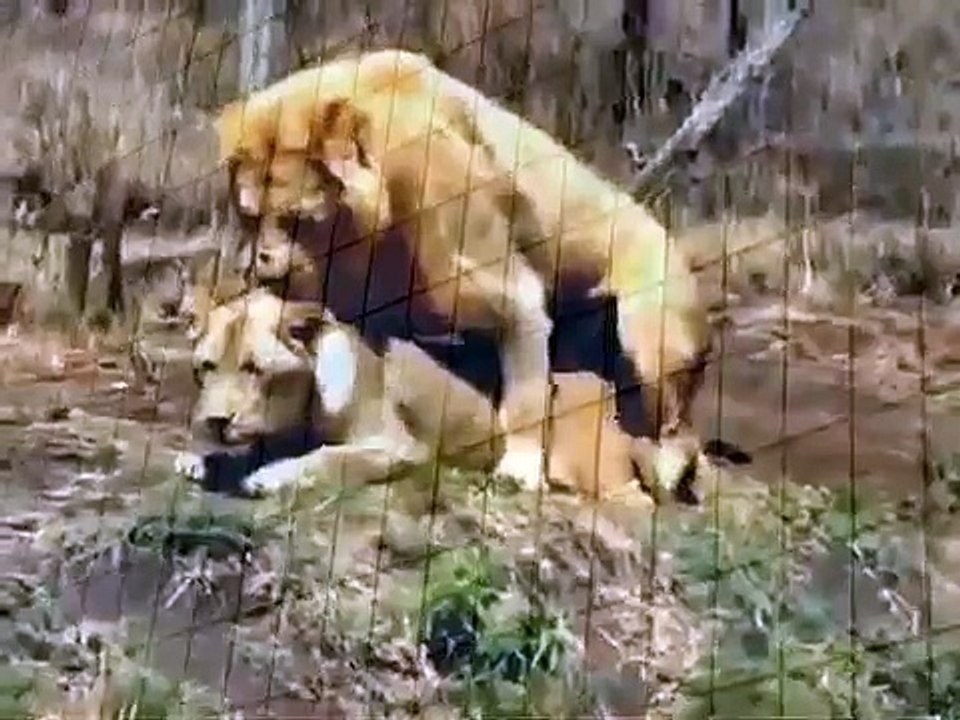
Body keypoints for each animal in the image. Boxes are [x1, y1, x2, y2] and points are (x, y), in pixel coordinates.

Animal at [185, 288, 672, 502]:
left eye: (254, 369)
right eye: (207, 367)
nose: (216, 422)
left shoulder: (403, 447)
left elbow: (332, 458)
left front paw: (268, 477)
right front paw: (201, 460)